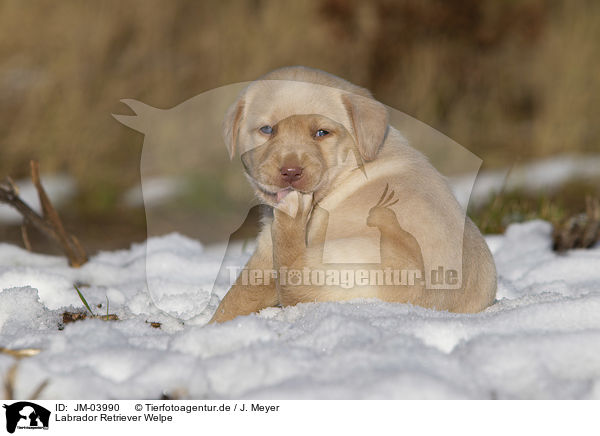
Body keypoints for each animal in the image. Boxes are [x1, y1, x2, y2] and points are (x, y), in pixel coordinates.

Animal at [209, 65, 494, 324]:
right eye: (267, 130)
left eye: (321, 133)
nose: (290, 172)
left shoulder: (265, 251)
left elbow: (237, 296)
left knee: (294, 279)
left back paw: (293, 210)